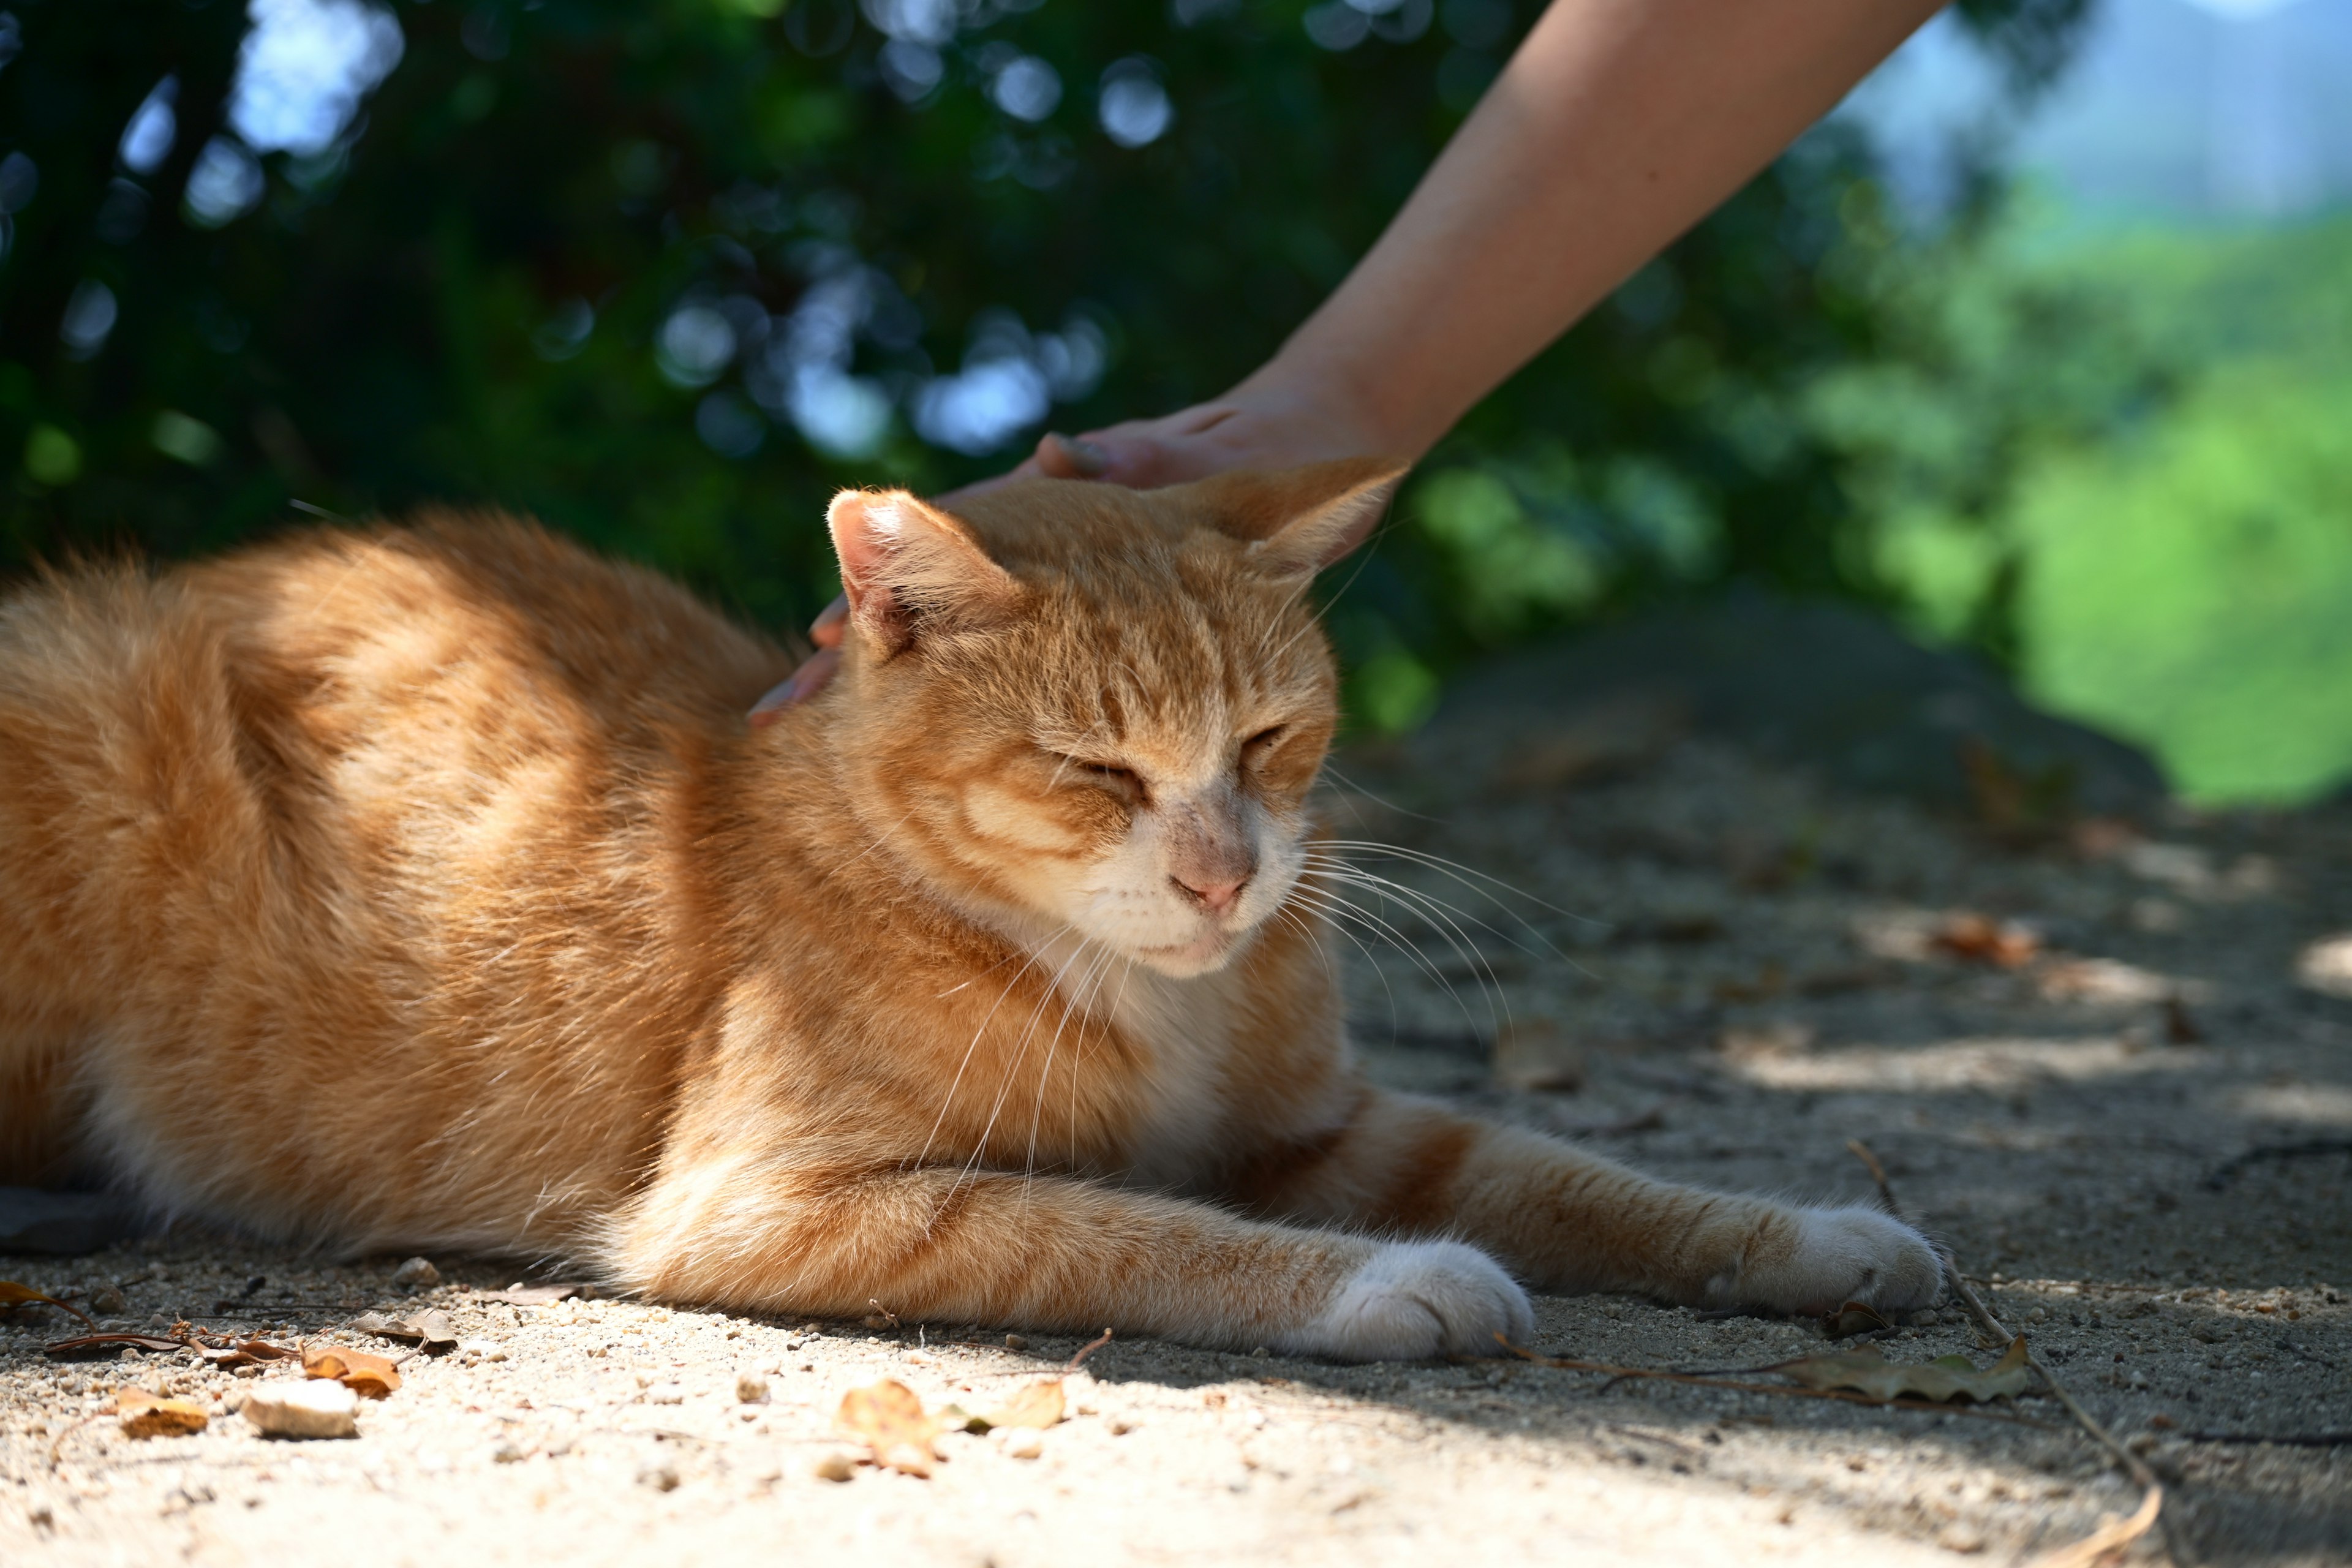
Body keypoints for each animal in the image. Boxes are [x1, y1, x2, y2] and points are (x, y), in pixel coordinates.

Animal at [0, 461, 1938, 1354]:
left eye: (1268, 735)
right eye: (1097, 771)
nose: (1229, 871)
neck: (1158, 1002)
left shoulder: (1335, 1128)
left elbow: (1578, 1179)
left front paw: (1816, 1239)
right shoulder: (775, 1203)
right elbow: (1144, 1232)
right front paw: (1393, 1282)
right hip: (88, 688)